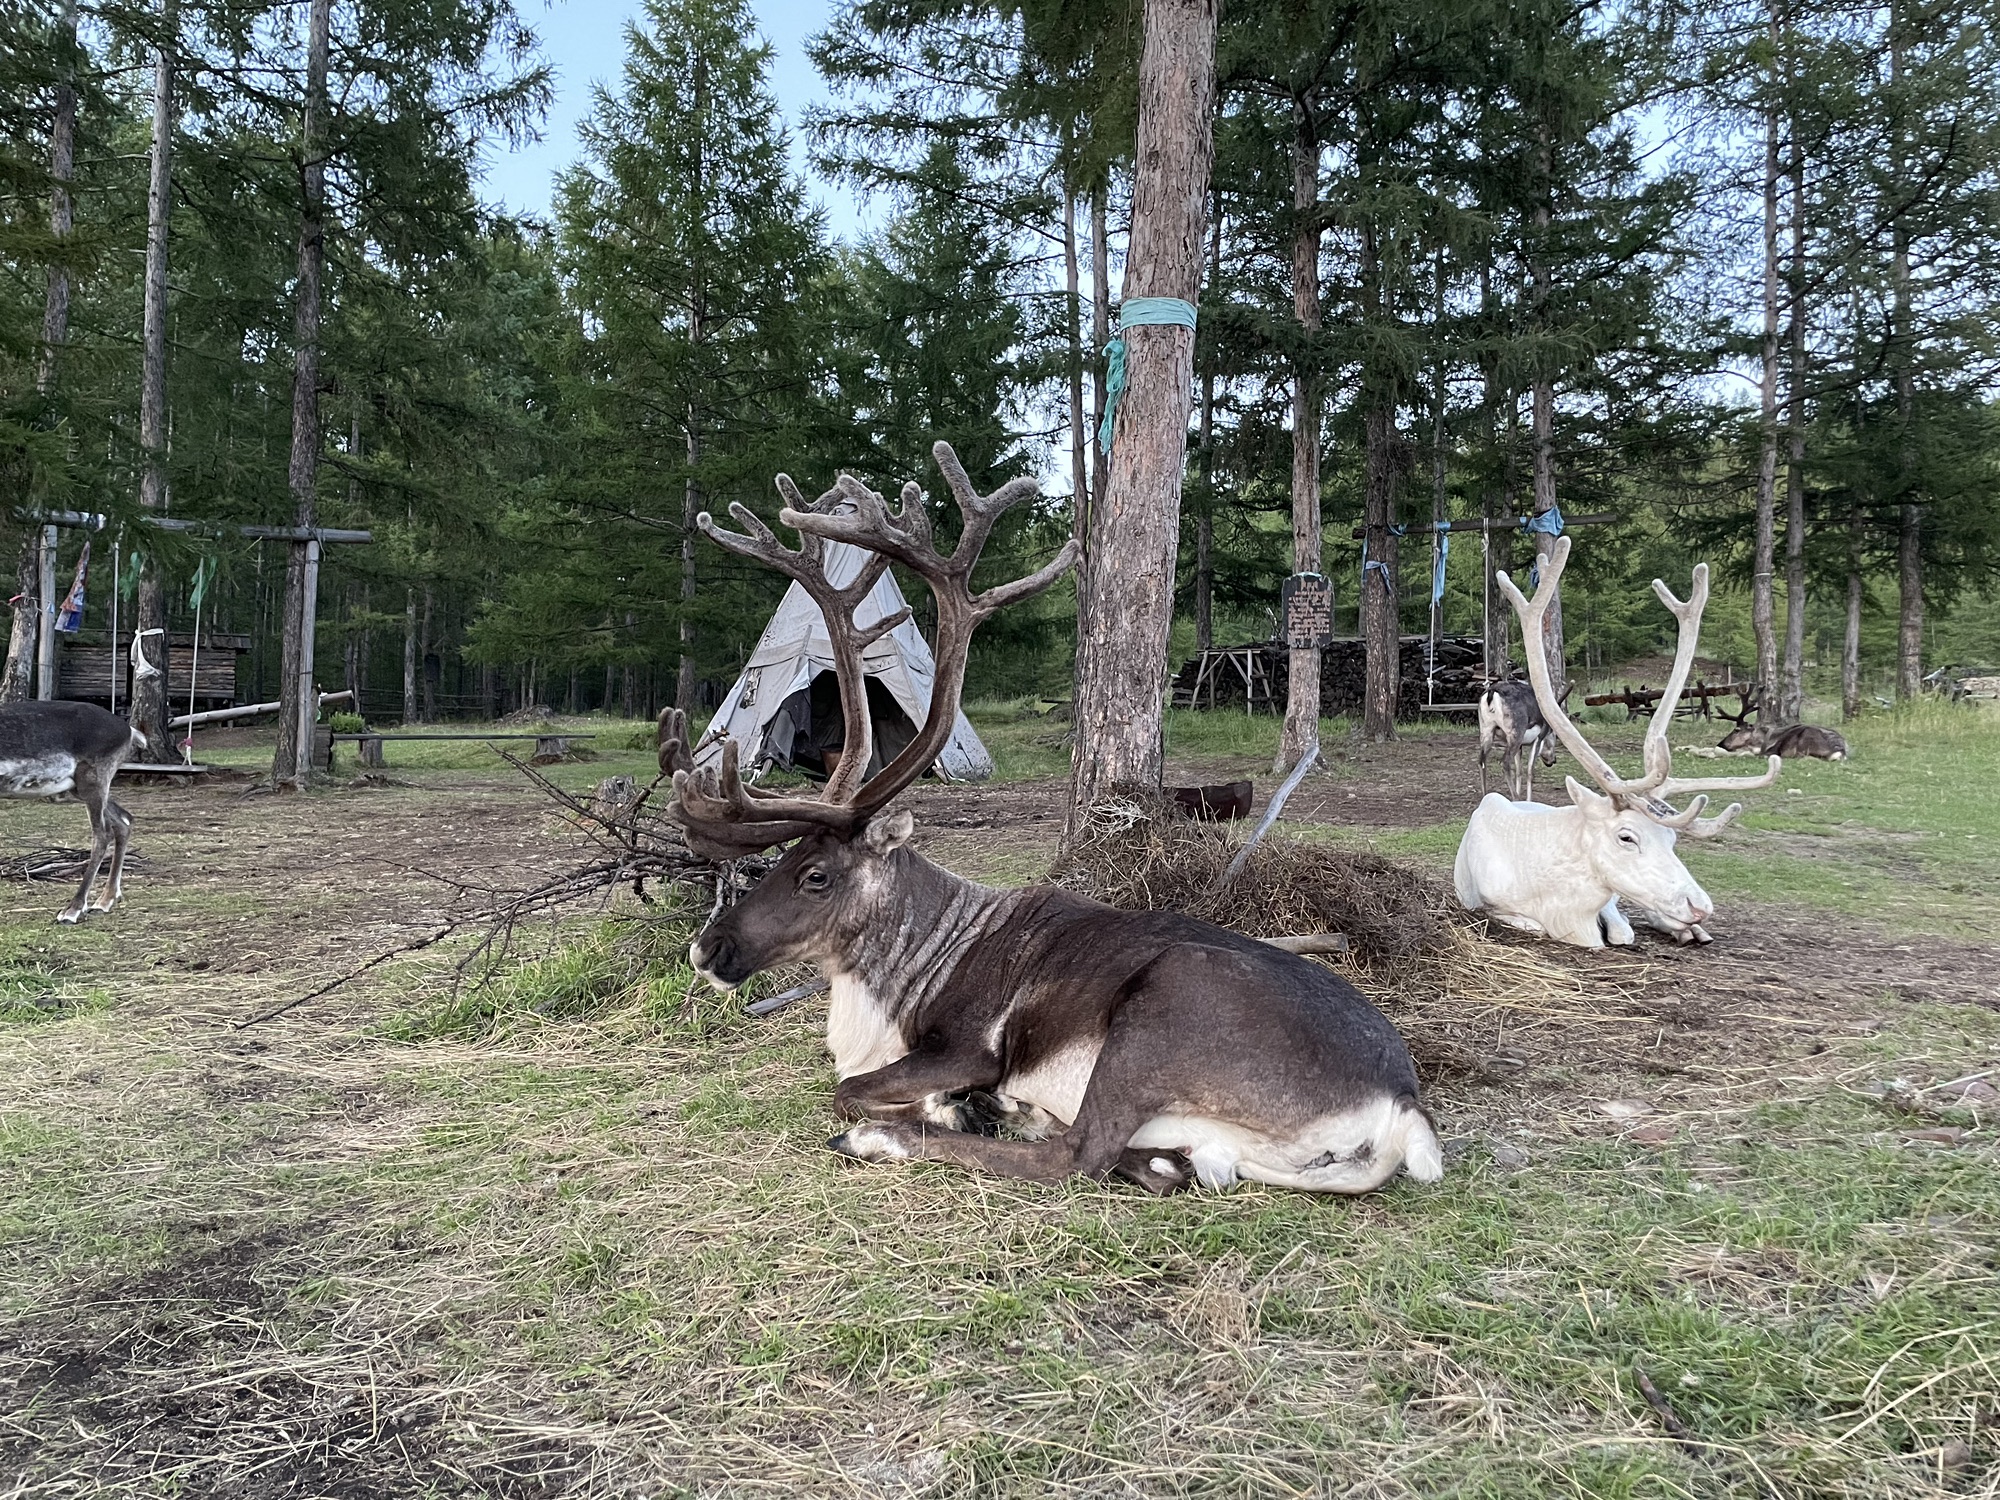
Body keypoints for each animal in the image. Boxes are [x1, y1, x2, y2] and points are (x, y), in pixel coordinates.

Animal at [0, 632, 158, 923]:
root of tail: (129, 730)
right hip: (78, 789)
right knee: (124, 820)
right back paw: (105, 900)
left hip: (94, 779)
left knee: (102, 833)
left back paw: (73, 908)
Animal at [662, 444, 1442, 1197]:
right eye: (785, 857)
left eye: (817, 875)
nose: (707, 948)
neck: (898, 980)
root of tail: (1402, 1106)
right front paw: (972, 1105)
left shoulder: (968, 1044)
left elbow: (848, 1086)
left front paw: (937, 1106)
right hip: (1219, 1137)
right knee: (1164, 1168)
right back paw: (1016, 1113)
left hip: (1159, 1014)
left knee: (1080, 1156)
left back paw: (901, 1134)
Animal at [1454, 537, 1782, 948]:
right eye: (1626, 837)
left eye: (1672, 840)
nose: (1698, 904)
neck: (1563, 909)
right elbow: (1529, 923)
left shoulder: (1610, 903)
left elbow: (1623, 930)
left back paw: (1688, 929)